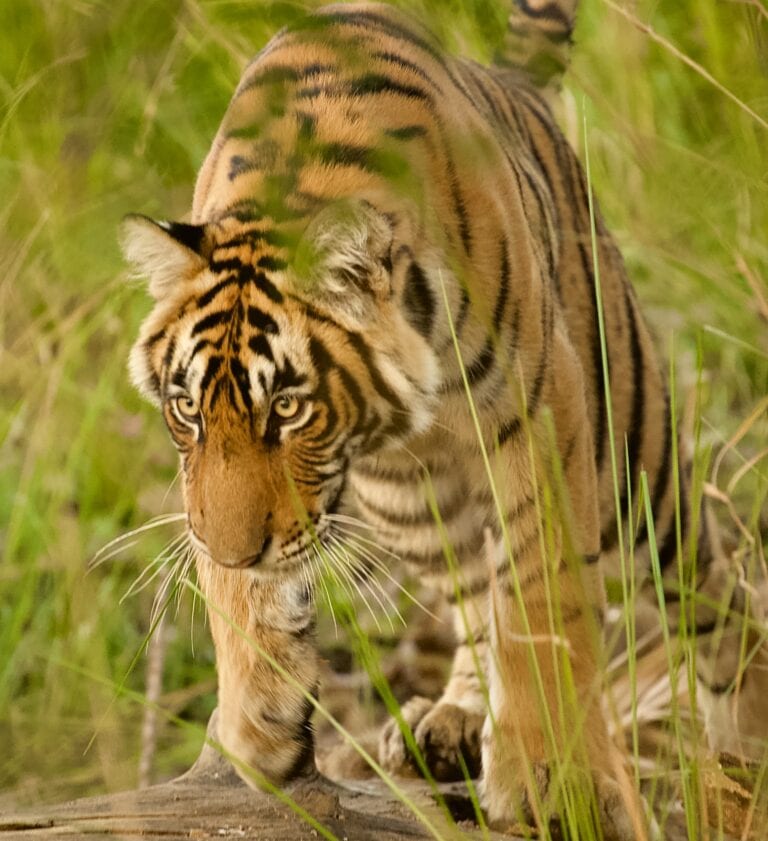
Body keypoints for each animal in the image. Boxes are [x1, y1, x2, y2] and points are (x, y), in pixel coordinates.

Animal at [121, 0, 767, 836]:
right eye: (187, 408)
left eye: (289, 407)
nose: (238, 553)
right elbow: (244, 607)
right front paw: (253, 736)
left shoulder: (543, 407)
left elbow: (540, 597)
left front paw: (548, 775)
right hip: (410, 503)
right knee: (472, 587)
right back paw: (456, 719)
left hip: (634, 454)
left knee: (711, 589)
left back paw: (746, 730)